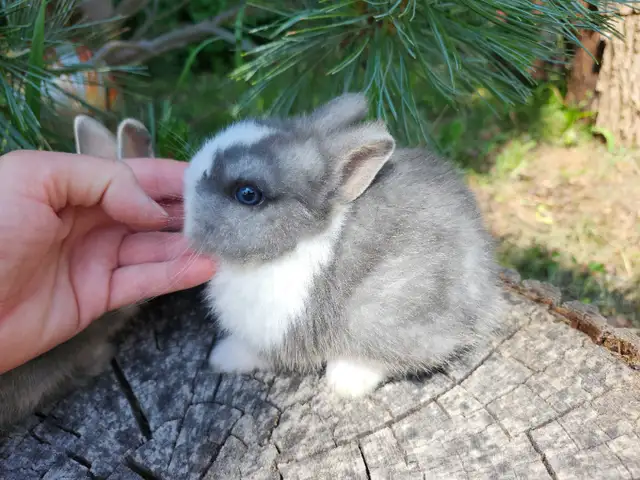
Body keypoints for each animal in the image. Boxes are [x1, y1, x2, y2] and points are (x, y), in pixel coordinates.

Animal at [182, 93, 505, 398]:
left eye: (248, 194)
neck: (300, 241)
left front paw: (221, 357)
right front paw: (221, 357)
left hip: (386, 313)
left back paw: (346, 381)